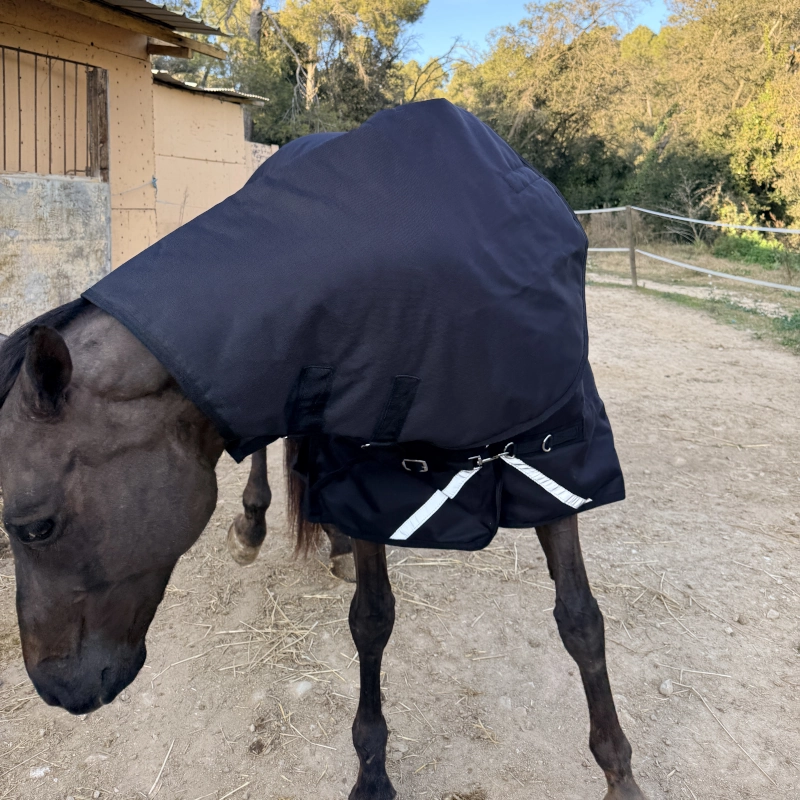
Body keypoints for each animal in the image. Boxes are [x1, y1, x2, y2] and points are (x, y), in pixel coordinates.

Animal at [0, 299, 647, 800]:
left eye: (34, 529)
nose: (55, 690)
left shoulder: (548, 459)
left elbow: (581, 619)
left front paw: (620, 775)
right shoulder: (369, 477)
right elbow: (373, 618)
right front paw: (373, 774)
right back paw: (254, 523)